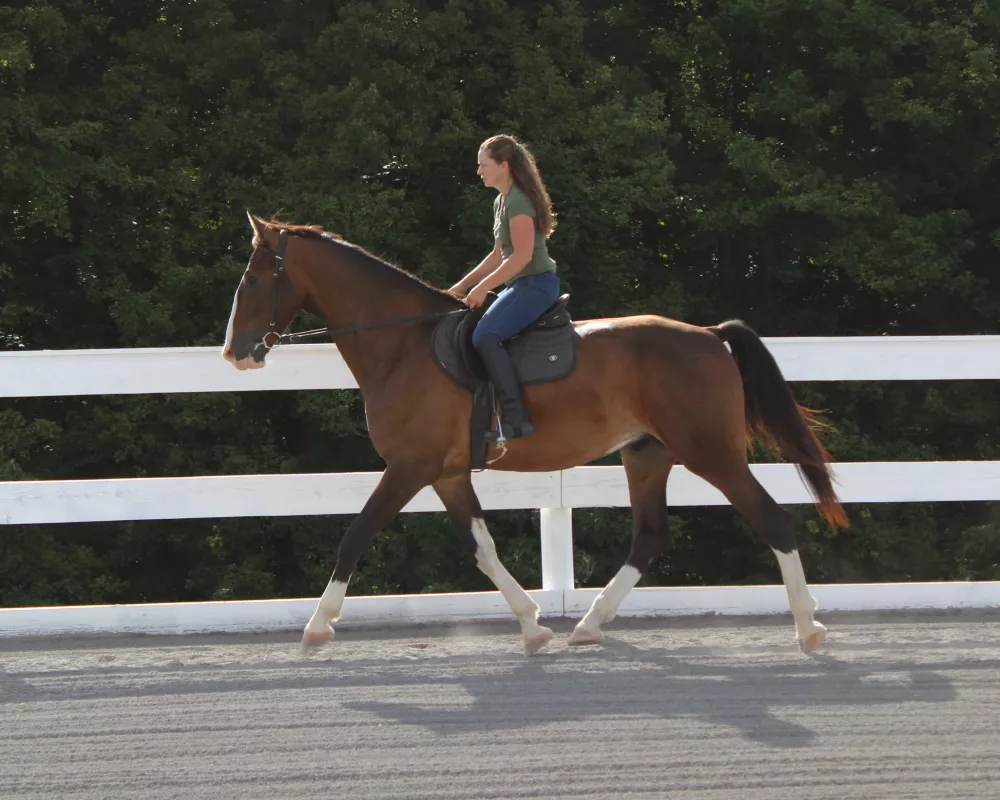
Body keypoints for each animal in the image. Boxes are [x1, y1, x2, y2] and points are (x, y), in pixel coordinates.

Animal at [223, 212, 848, 656]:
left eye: (253, 278)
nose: (235, 352)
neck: (403, 344)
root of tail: (710, 335)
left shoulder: (410, 467)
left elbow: (355, 535)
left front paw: (317, 625)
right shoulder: (447, 474)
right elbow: (482, 547)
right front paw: (532, 625)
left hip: (710, 453)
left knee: (772, 519)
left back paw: (808, 627)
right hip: (647, 455)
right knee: (649, 537)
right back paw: (590, 625)